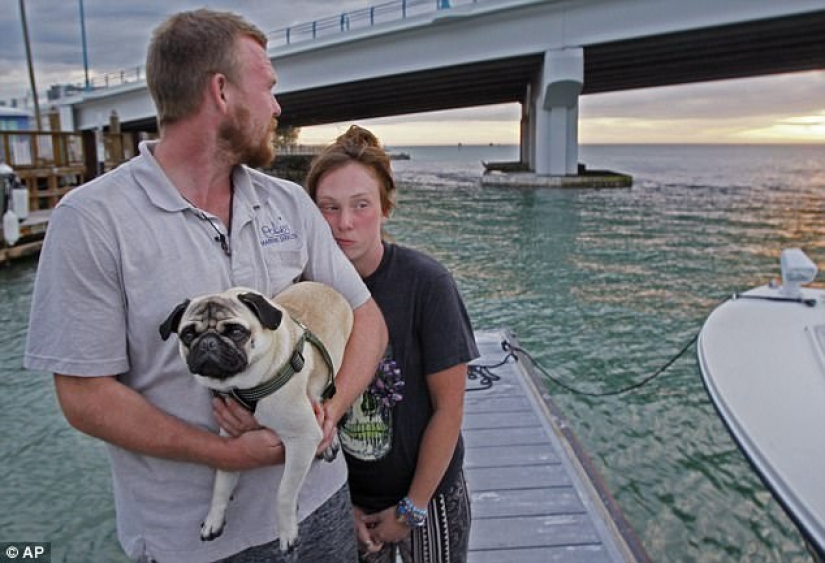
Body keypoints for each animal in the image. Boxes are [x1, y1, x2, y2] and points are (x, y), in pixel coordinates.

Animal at [159, 282, 352, 552]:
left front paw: (287, 532)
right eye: (188, 335)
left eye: (236, 332)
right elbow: (221, 484)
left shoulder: (302, 438)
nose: (208, 342)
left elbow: (284, 493)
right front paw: (214, 518)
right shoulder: (231, 440)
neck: (242, 387)